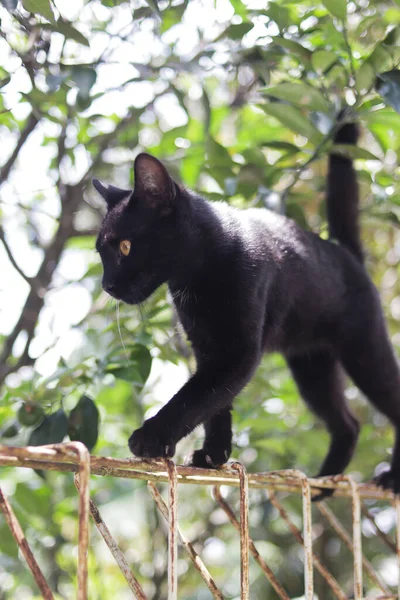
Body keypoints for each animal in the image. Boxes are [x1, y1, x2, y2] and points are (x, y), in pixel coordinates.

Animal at [93, 117, 400, 496]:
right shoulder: (206, 345)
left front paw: (151, 437)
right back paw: (323, 484)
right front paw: (214, 455)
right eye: (101, 252)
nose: (107, 285)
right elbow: (214, 401)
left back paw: (390, 476)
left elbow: (195, 396)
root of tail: (344, 252)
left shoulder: (238, 350)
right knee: (348, 423)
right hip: (311, 366)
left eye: (125, 246)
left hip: (363, 350)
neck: (198, 275)